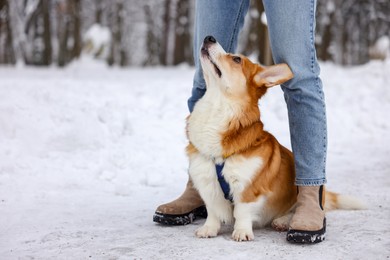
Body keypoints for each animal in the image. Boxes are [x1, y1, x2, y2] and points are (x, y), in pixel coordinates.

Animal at [185, 35, 362, 242]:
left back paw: (284, 221)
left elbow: (242, 212)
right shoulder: (207, 182)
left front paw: (242, 232)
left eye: (236, 59)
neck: (217, 107)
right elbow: (212, 212)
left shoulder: (248, 188)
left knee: (300, 209)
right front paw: (208, 229)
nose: (209, 38)